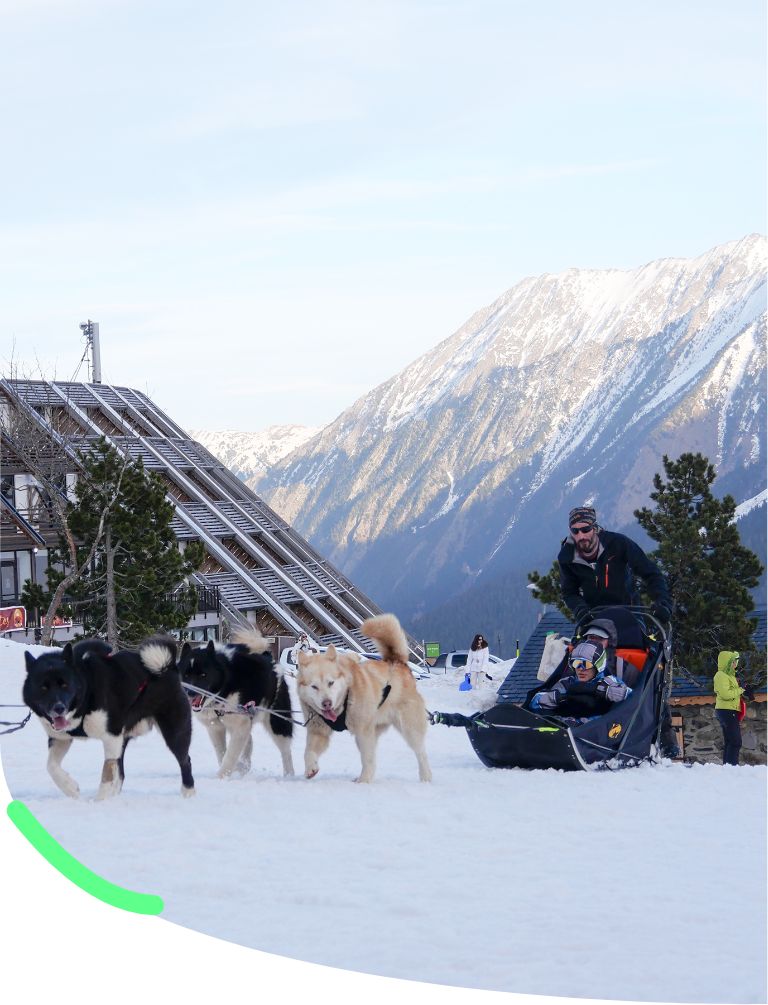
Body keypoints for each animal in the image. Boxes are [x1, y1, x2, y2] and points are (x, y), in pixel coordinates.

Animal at [23, 635, 195, 799]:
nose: (59, 708)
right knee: (121, 773)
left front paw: (100, 801)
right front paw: (70, 788)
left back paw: (188, 792)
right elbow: (51, 766)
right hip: (123, 738)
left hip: (174, 732)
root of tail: (167, 667)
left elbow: (108, 772)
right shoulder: (60, 738)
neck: (87, 692)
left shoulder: (111, 737)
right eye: (43, 687)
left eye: (64, 684)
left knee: (185, 760)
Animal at [178, 627, 293, 775]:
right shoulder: (215, 728)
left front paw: (222, 776)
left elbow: (229, 756)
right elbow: (222, 753)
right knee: (249, 741)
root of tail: (269, 658)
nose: (190, 693)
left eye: (203, 674)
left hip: (277, 722)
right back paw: (244, 766)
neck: (225, 685)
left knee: (285, 751)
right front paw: (237, 768)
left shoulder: (240, 724)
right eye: (186, 674)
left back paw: (289, 775)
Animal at [297, 611, 432, 783]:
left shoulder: (363, 732)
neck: (345, 699)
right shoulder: (318, 731)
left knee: (420, 753)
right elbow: (308, 752)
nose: (327, 703)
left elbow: (367, 758)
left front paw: (364, 781)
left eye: (331, 683)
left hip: (408, 728)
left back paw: (425, 777)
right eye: (314, 686)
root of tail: (398, 662)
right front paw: (310, 768)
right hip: (375, 729)